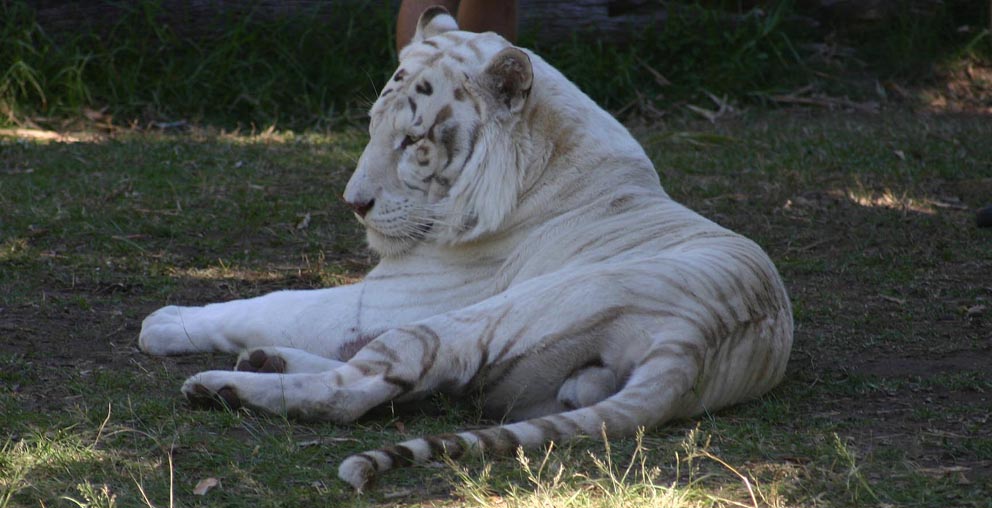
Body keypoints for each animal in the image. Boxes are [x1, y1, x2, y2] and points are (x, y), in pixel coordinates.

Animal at [138, 6, 792, 492]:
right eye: (371, 126)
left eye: (412, 141)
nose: (353, 203)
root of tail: (695, 341)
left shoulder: (392, 297)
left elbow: (278, 302)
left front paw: (166, 321)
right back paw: (259, 362)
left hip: (477, 317)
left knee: (353, 392)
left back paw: (220, 386)